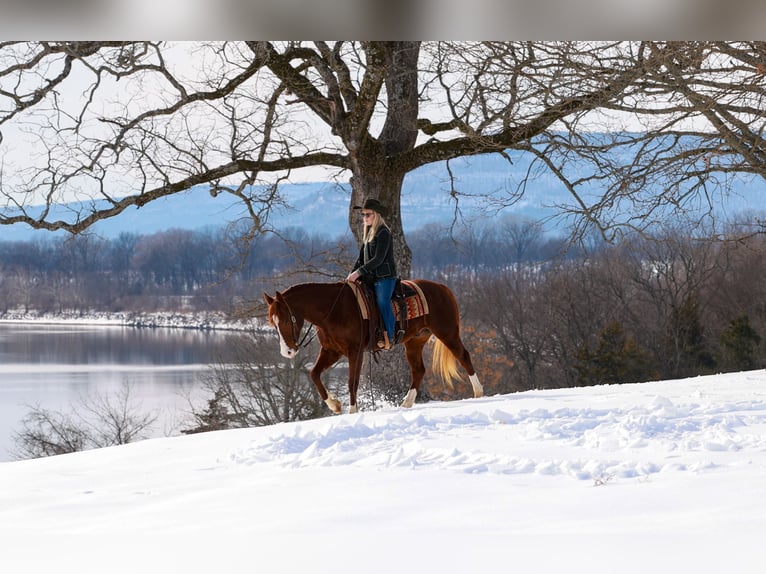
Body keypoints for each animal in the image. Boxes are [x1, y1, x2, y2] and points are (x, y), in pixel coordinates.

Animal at [263, 279, 483, 414]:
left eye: (285, 320)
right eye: (273, 323)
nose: (287, 352)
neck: (333, 310)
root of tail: (441, 287)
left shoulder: (355, 352)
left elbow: (352, 382)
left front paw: (352, 411)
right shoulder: (332, 351)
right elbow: (314, 374)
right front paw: (335, 405)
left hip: (447, 333)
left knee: (464, 356)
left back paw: (478, 392)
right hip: (414, 342)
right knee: (419, 370)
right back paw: (406, 402)